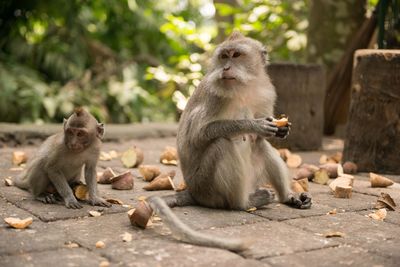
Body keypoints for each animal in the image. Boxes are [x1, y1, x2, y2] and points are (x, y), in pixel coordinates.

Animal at [142, 32, 310, 252]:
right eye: (224, 56)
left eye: (236, 55)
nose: (226, 68)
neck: (244, 87)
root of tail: (194, 192)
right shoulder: (216, 95)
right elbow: (198, 134)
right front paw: (253, 125)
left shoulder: (266, 92)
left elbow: (262, 137)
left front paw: (282, 129)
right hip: (206, 186)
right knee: (223, 144)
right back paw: (243, 204)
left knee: (259, 146)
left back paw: (288, 197)